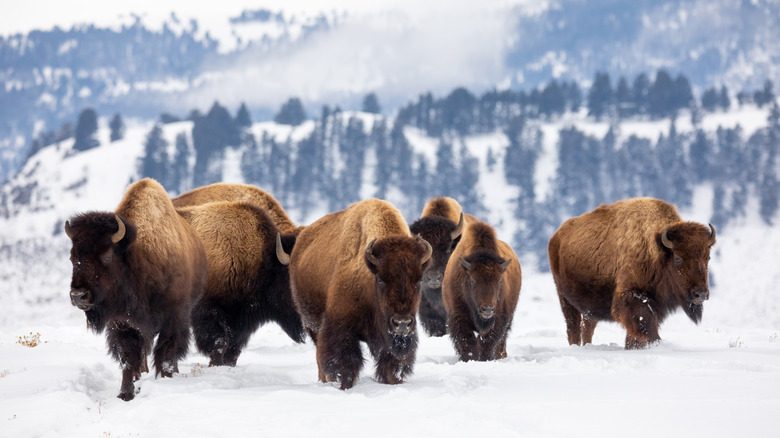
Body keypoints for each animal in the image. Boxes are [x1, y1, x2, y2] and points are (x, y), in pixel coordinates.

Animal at [65, 178, 207, 401]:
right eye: (72, 258)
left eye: (107, 255)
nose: (79, 296)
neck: (136, 258)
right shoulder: (123, 324)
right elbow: (128, 359)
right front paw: (125, 393)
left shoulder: (173, 318)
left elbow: (166, 354)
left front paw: (166, 380)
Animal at [290, 199, 432, 389]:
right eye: (381, 279)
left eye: (419, 280)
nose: (402, 323)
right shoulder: (340, 327)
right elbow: (346, 363)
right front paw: (344, 386)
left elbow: (390, 364)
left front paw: (393, 382)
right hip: (311, 324)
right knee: (320, 353)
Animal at [443, 220, 522, 361]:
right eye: (472, 281)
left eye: (499, 281)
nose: (487, 309)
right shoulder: (458, 317)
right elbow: (467, 342)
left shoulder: (499, 319)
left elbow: (488, 342)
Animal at [548, 197, 716, 349]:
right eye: (677, 259)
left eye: (708, 257)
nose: (700, 294)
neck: (656, 248)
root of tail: (556, 236)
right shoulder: (631, 297)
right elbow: (644, 321)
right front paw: (655, 343)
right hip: (565, 298)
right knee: (573, 328)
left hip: (588, 307)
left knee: (587, 327)